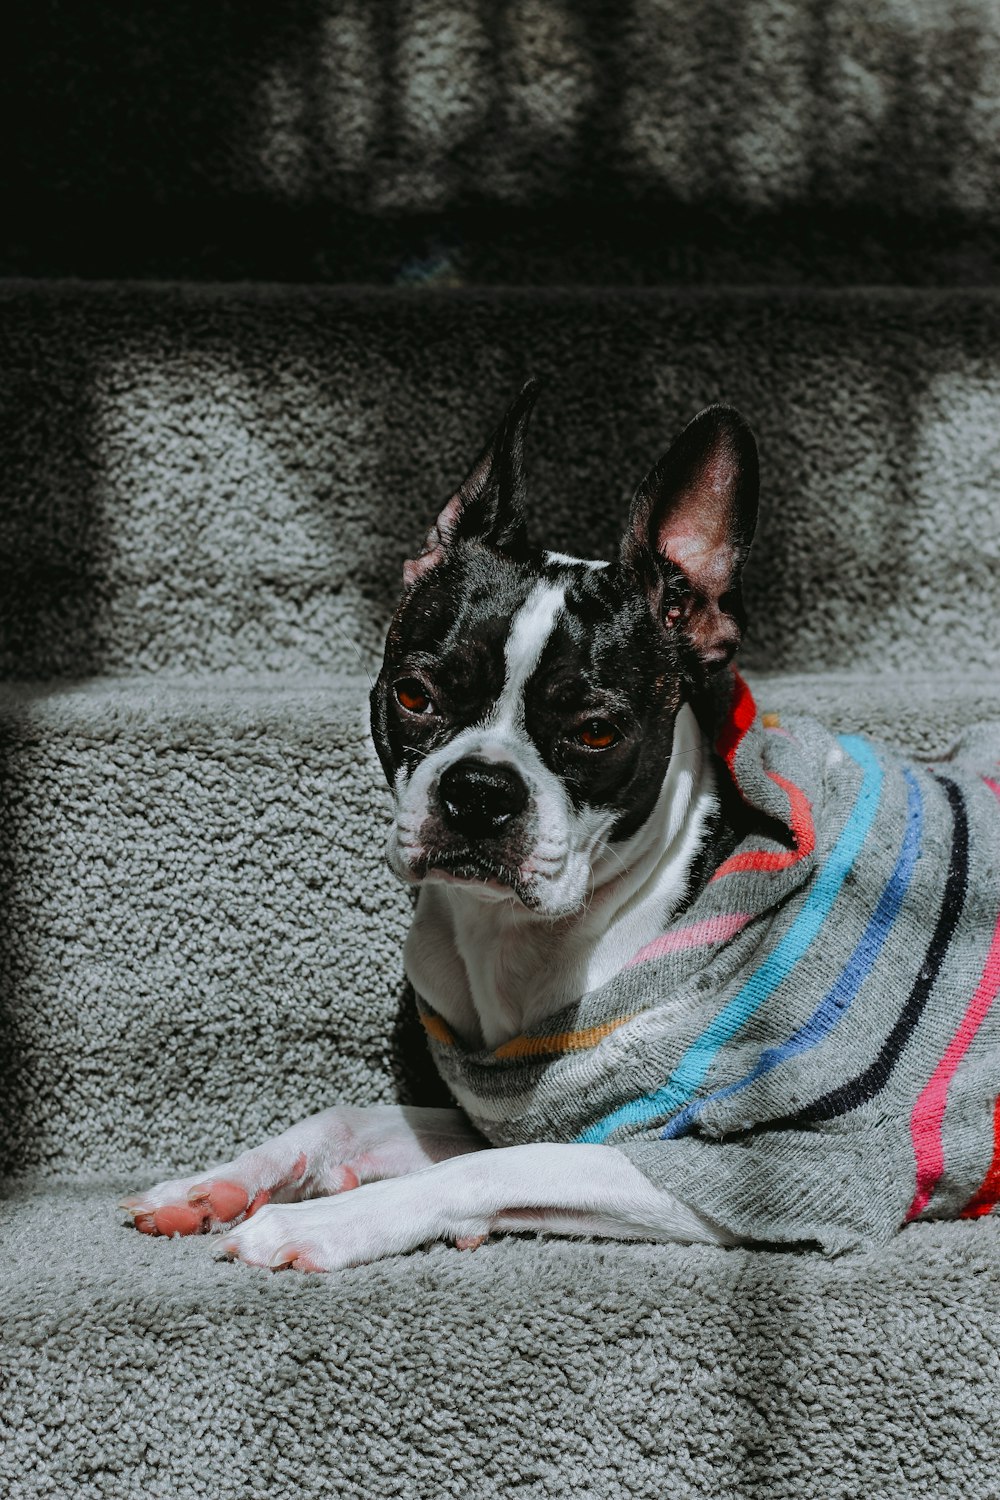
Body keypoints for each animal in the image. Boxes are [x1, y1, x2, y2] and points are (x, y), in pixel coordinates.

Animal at [125, 381, 1000, 1260]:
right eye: (413, 695)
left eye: (596, 733)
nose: (479, 789)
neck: (517, 937)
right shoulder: (516, 1112)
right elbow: (348, 1117)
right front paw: (216, 1184)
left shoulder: (786, 1167)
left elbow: (493, 1168)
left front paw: (321, 1222)